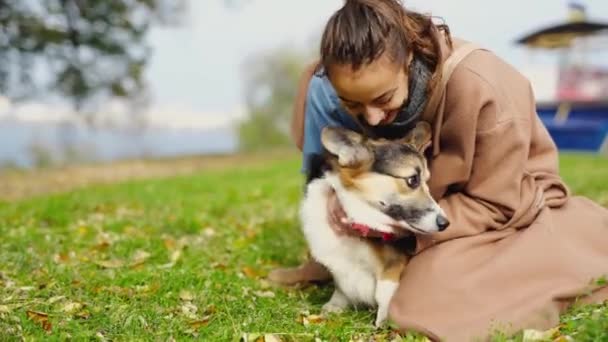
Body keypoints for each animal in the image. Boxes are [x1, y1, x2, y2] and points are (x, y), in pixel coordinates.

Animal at [298, 122, 446, 326]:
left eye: (426, 181)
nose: (445, 223)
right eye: (412, 180)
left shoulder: (393, 265)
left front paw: (382, 322)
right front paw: (335, 305)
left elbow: (383, 293)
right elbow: (341, 286)